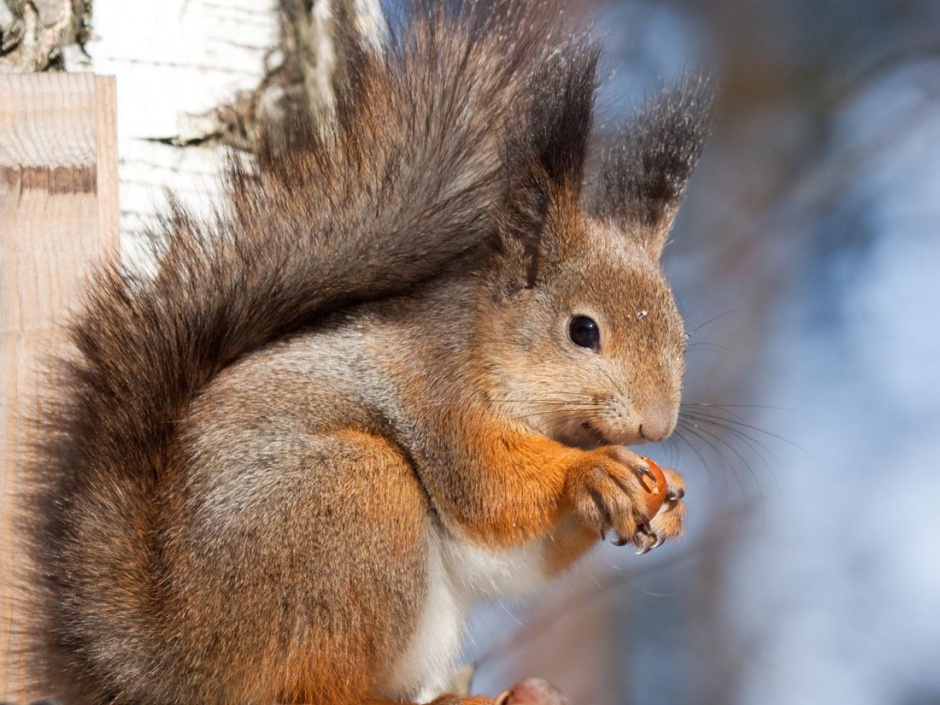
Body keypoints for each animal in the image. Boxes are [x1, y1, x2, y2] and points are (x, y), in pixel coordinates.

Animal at [22, 1, 712, 704]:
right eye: (583, 331)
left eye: (681, 336)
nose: (657, 426)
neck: (486, 348)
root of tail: (186, 659)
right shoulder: (438, 396)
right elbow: (489, 491)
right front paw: (592, 472)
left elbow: (510, 557)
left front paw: (670, 497)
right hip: (349, 501)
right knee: (310, 683)